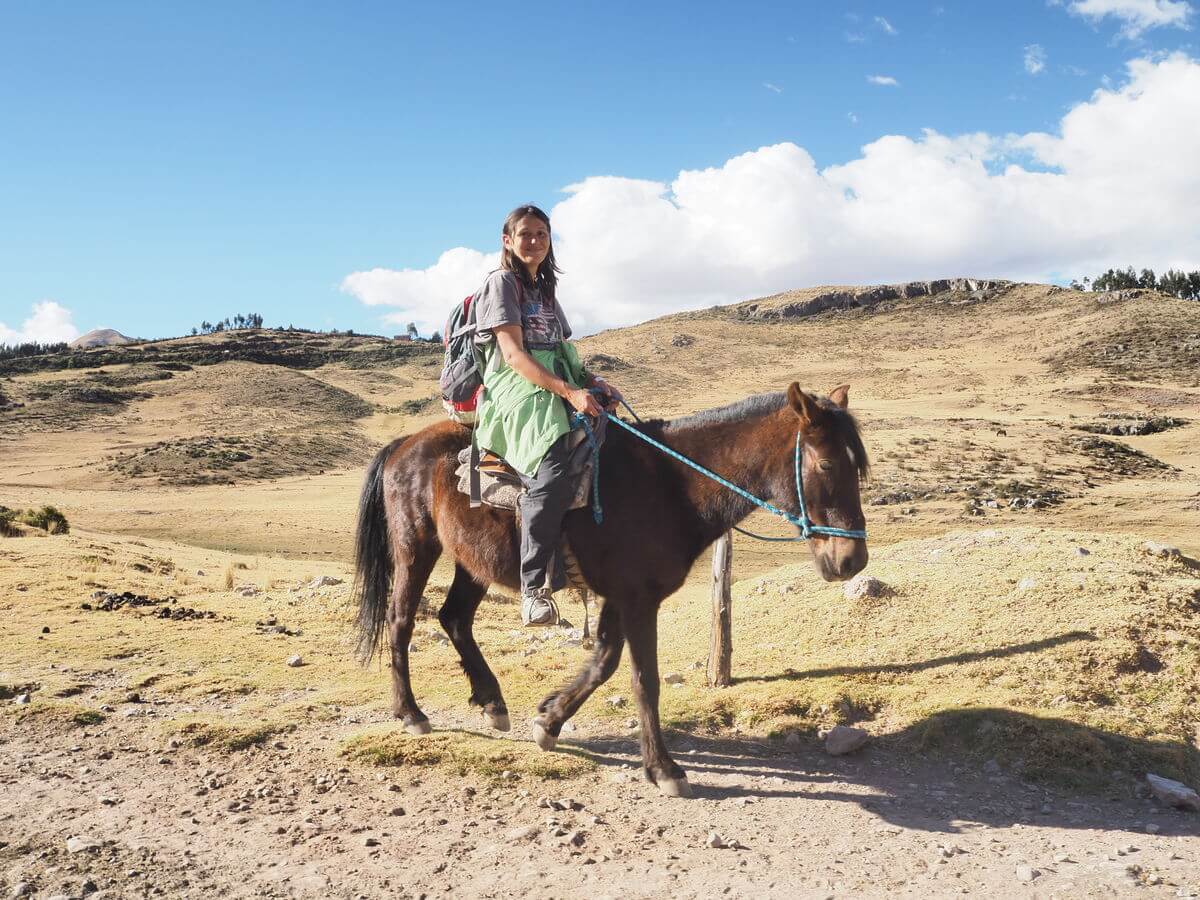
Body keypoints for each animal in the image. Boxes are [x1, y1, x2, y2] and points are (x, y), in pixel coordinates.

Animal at [350, 381, 868, 796]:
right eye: (825, 463)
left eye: (857, 466)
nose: (852, 561)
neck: (671, 486)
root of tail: (403, 444)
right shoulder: (638, 599)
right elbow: (644, 679)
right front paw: (663, 769)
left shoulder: (622, 597)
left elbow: (603, 661)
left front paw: (549, 719)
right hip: (416, 547)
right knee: (401, 620)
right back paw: (411, 713)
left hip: (472, 562)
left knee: (454, 618)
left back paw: (493, 702)